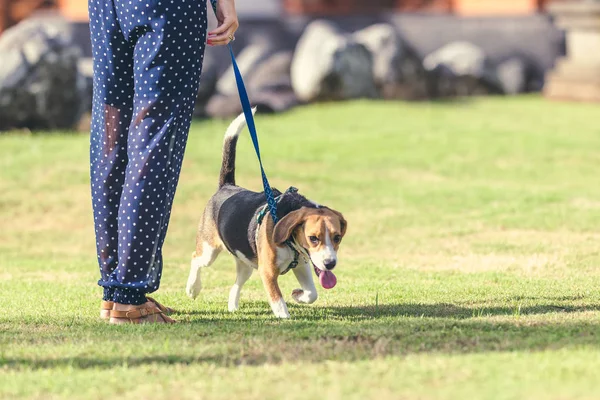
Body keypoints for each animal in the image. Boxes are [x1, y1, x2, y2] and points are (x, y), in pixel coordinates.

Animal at [186, 110, 346, 318]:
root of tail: (227, 186)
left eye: (337, 237)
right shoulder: (268, 272)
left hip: (246, 262)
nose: (330, 264)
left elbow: (312, 293)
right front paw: (285, 316)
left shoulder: (302, 265)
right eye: (313, 238)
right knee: (196, 259)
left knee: (236, 284)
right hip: (209, 250)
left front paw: (298, 295)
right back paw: (192, 288)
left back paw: (232, 305)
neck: (290, 244)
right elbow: (279, 303)